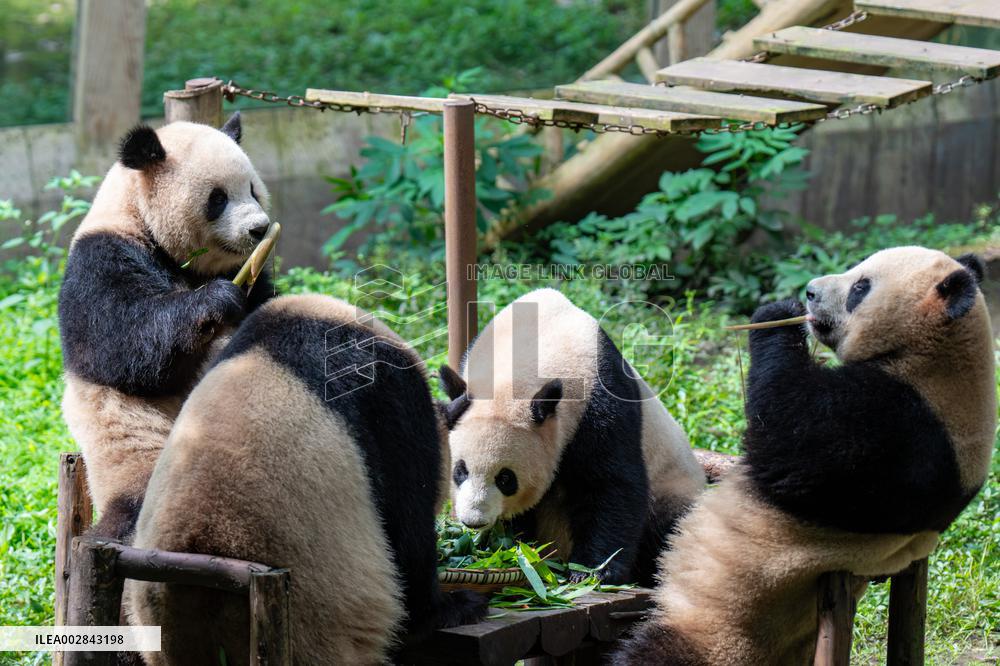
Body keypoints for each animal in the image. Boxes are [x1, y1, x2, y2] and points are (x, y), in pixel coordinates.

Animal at [58, 113, 274, 540]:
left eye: (254, 191)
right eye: (218, 198)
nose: (259, 229)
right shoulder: (101, 256)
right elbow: (121, 346)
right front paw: (218, 299)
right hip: (139, 450)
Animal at [439, 288, 705, 585]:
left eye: (506, 479)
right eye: (459, 472)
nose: (474, 521)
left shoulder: (600, 403)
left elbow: (610, 484)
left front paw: (593, 570)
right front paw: (504, 545)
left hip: (673, 486)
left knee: (673, 530)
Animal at [616, 247, 997, 665]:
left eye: (860, 287)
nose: (811, 292)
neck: (940, 357)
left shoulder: (901, 430)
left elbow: (787, 443)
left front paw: (777, 313)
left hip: (718, 630)